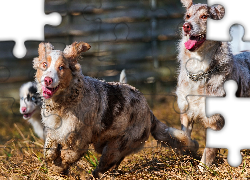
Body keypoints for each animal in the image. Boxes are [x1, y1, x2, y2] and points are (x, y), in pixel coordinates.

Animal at [33, 41, 198, 178]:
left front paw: (59, 168)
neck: (65, 101)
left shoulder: (79, 138)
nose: (48, 80)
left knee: (106, 163)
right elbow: (49, 151)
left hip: (115, 146)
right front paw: (54, 165)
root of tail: (149, 113)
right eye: (44, 65)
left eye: (61, 67)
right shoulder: (54, 131)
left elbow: (68, 155)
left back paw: (97, 174)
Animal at [178, 0, 250, 170]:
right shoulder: (186, 111)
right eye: (188, 16)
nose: (186, 26)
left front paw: (202, 170)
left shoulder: (215, 121)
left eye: (205, 16)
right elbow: (185, 137)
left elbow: (209, 152)